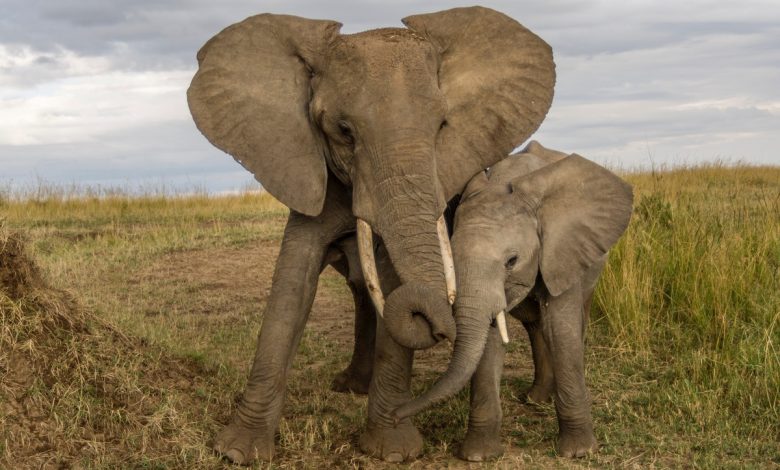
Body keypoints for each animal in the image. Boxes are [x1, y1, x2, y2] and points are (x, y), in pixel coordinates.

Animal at [188, 6, 556, 462]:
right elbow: (292, 283)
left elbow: (391, 279)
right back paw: (351, 387)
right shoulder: (308, 166)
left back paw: (537, 398)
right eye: (344, 131)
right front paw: (238, 452)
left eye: (442, 126)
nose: (439, 326)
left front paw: (393, 452)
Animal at [390, 141, 632, 460]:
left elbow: (561, 329)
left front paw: (579, 452)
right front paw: (478, 455)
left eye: (512, 261)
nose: (395, 416)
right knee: (534, 324)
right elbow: (490, 339)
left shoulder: (561, 250)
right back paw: (536, 399)